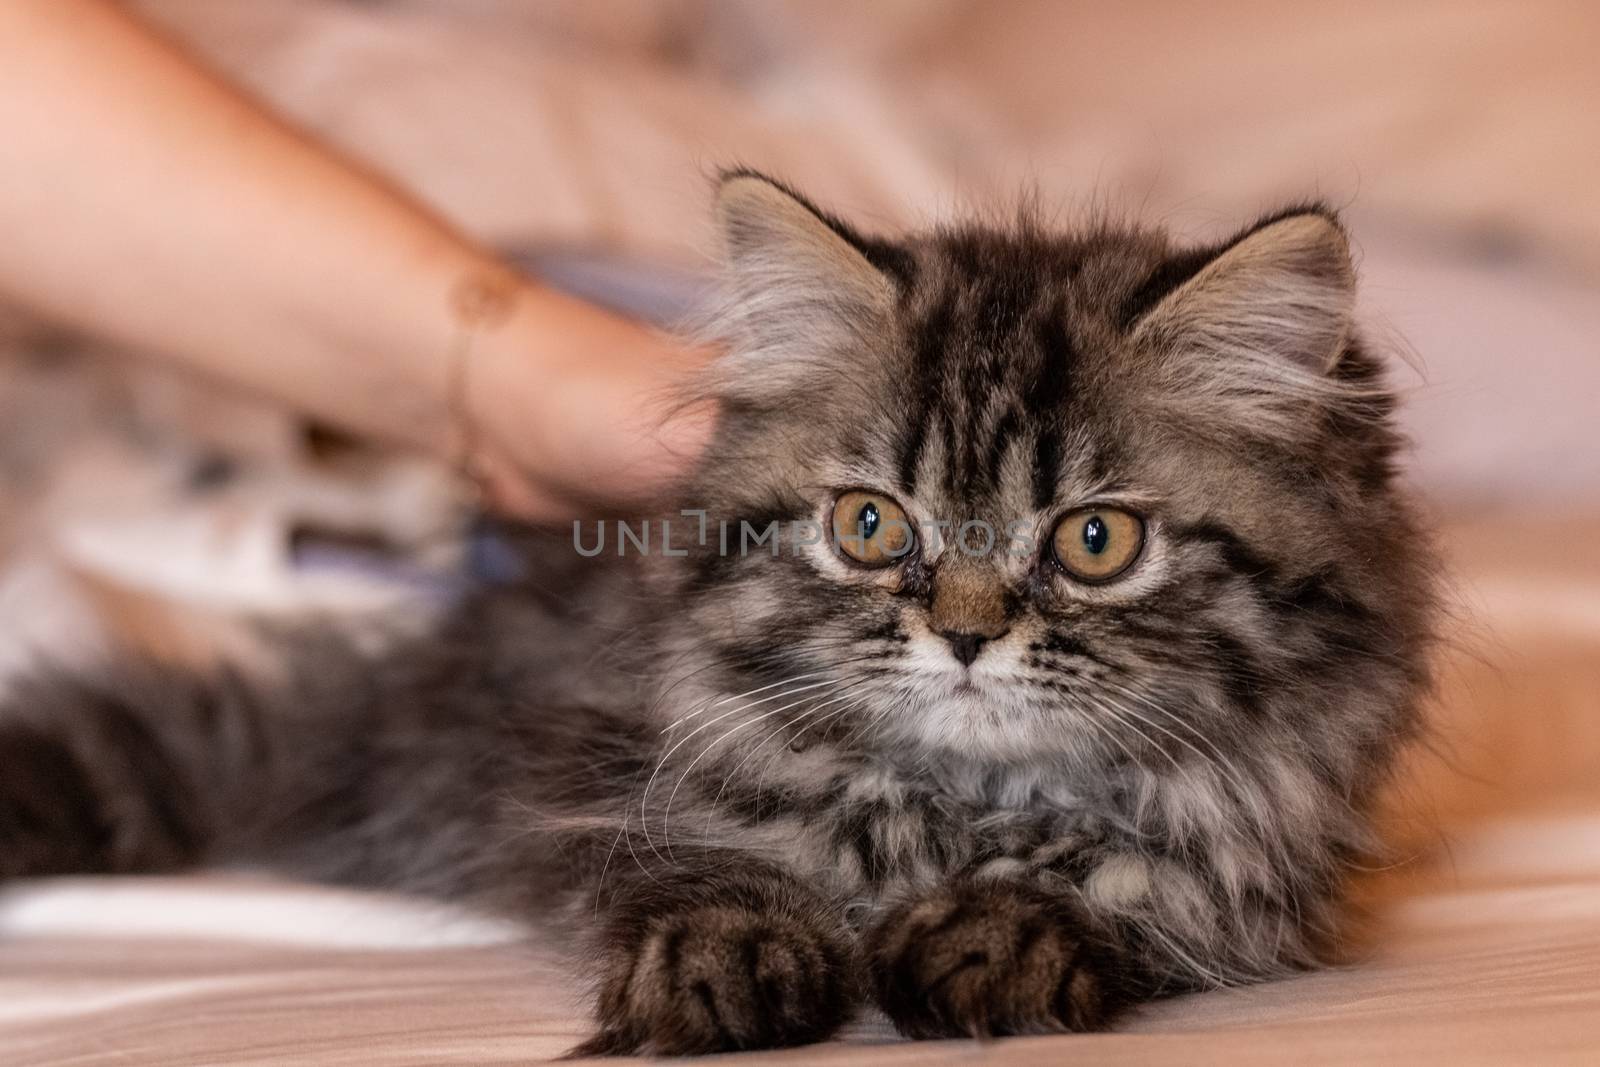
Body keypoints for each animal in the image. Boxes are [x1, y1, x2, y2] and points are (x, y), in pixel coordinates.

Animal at [0, 171, 1440, 1055]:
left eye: (1096, 539)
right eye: (872, 527)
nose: (967, 633)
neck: (958, 807)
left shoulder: (1268, 864)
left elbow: (1140, 882)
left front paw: (1008, 927)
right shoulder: (581, 764)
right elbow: (693, 855)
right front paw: (731, 951)